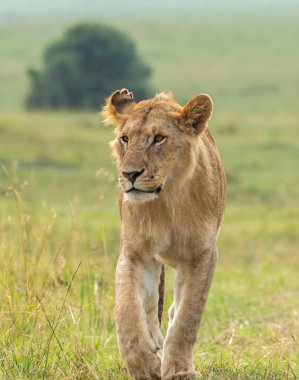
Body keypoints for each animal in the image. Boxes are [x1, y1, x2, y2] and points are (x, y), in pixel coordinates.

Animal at [102, 87, 225, 378]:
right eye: (125, 139)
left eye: (158, 139)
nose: (130, 174)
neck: (167, 198)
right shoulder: (135, 254)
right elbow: (127, 312)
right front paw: (144, 364)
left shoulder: (202, 255)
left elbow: (186, 318)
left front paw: (179, 370)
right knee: (148, 309)